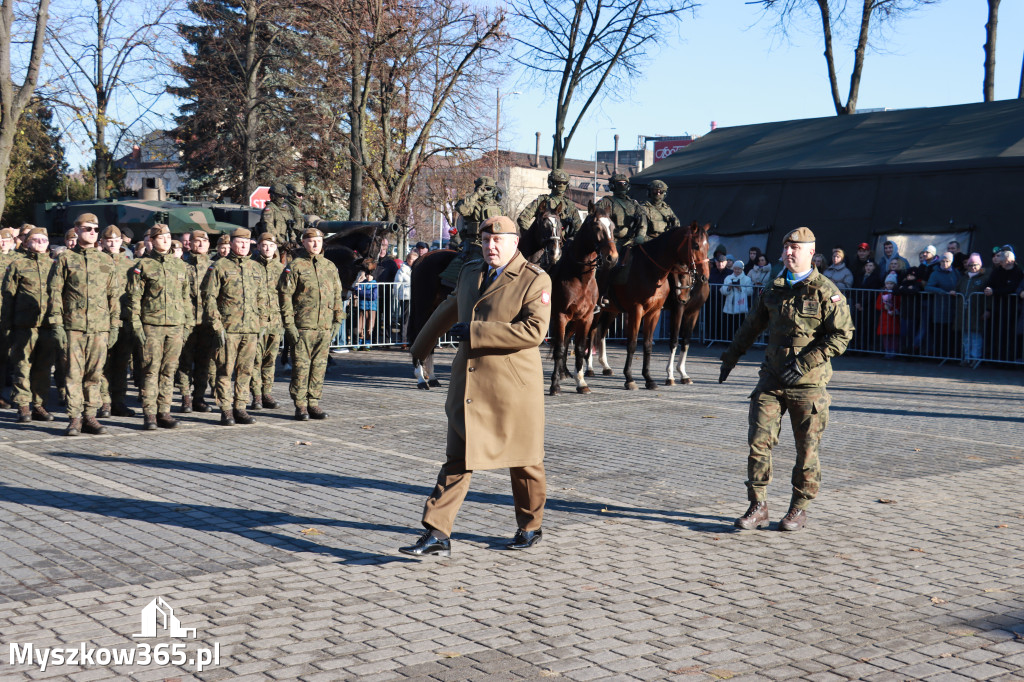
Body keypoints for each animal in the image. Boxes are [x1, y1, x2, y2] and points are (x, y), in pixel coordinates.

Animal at [552, 205, 614, 393]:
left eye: (612, 227)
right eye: (597, 227)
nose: (612, 257)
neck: (580, 278)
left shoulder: (585, 318)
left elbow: (579, 348)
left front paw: (581, 382)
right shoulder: (560, 316)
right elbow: (559, 349)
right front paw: (554, 386)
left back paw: (564, 372)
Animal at [589, 224, 708, 387]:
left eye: (707, 246)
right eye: (696, 245)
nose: (704, 276)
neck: (649, 269)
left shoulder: (677, 312)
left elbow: (661, 343)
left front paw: (657, 377)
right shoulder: (642, 311)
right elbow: (641, 343)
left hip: (612, 309)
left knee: (601, 332)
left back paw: (605, 366)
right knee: (591, 333)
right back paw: (588, 368)